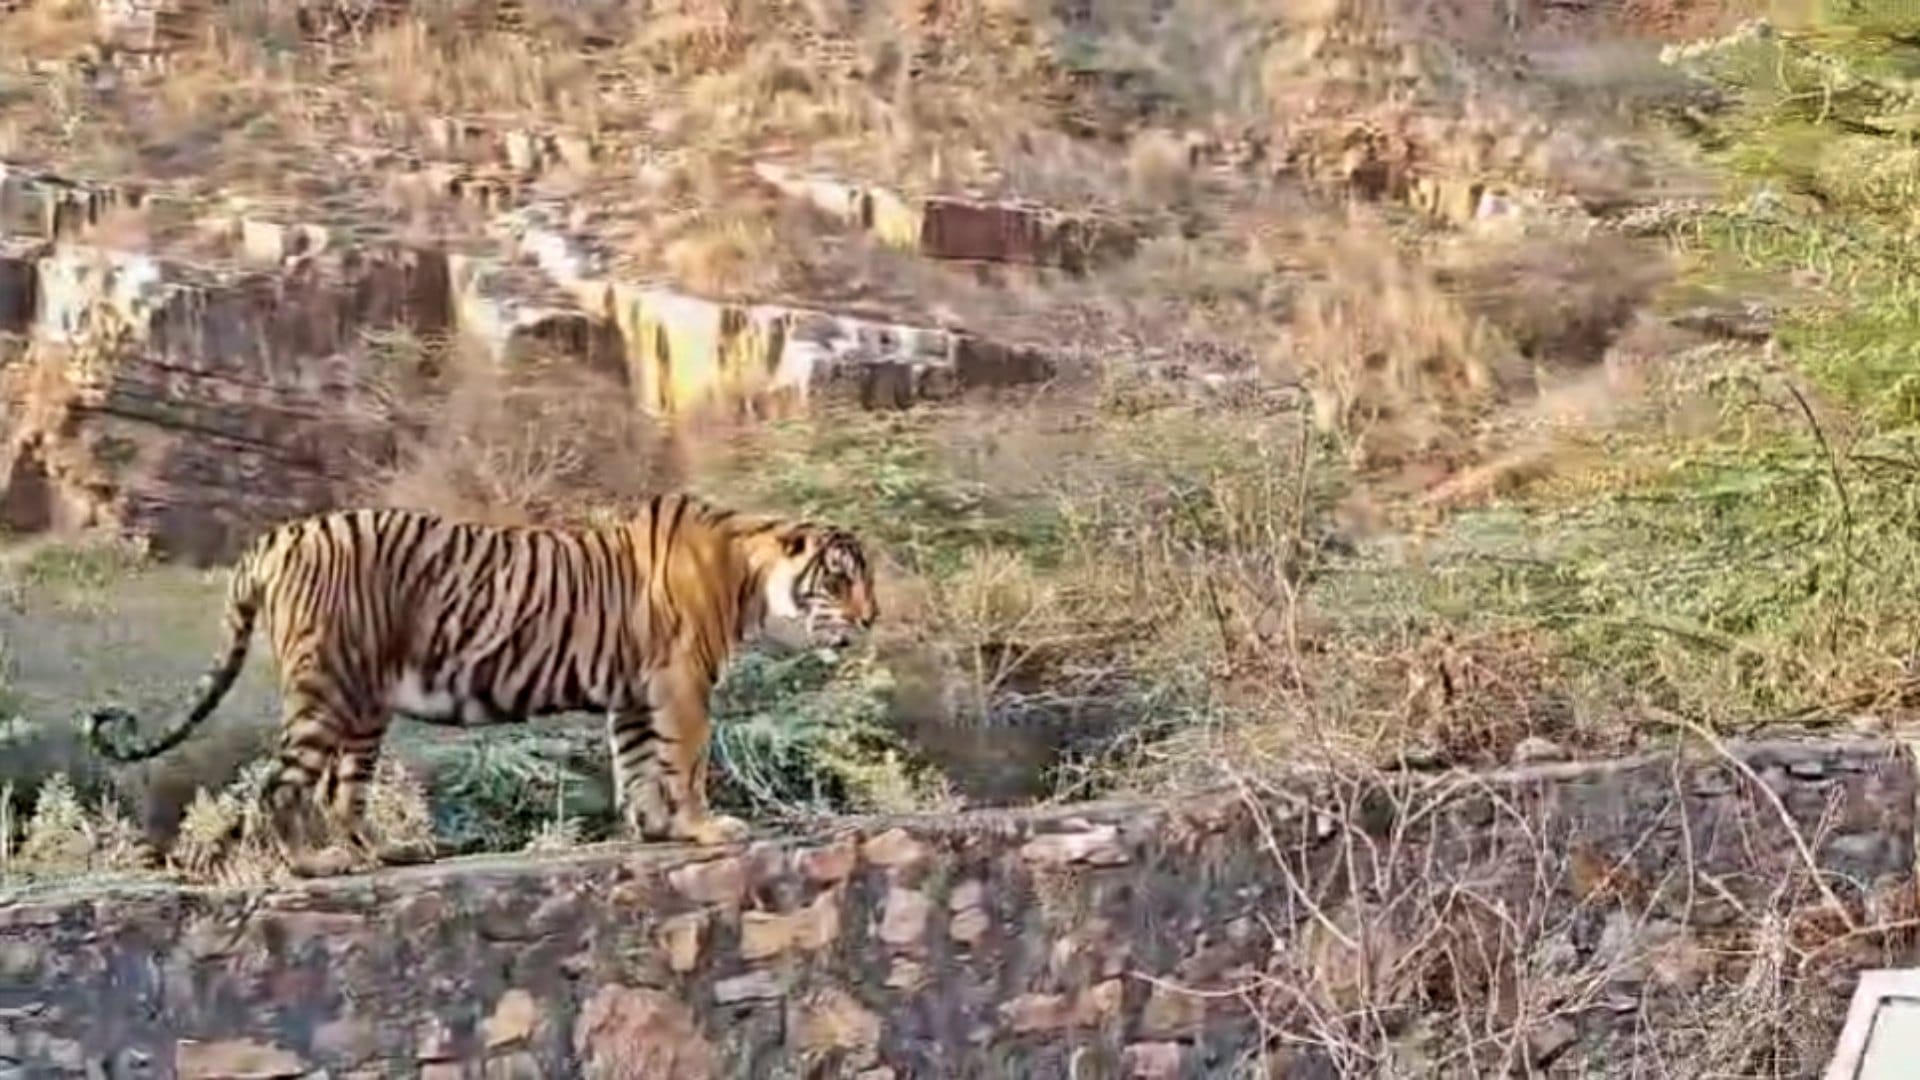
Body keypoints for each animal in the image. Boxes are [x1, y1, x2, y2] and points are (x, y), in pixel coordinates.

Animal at [84, 494, 879, 878]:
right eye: (841, 579)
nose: (871, 618)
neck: (750, 576)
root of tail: (278, 537)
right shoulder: (680, 685)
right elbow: (684, 763)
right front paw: (706, 828)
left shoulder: (632, 694)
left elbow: (639, 766)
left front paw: (655, 829)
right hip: (328, 687)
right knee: (282, 785)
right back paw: (315, 865)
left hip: (364, 704)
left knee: (343, 790)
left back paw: (387, 853)